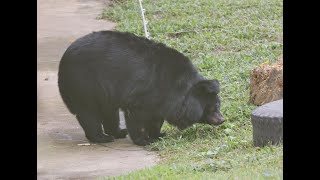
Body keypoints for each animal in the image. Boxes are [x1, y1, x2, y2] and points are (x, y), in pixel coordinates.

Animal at [57, 31, 224, 146]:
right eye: (213, 107)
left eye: (218, 105)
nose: (222, 119)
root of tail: (64, 57)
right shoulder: (144, 92)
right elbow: (136, 115)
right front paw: (143, 140)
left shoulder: (161, 99)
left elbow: (156, 118)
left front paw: (158, 135)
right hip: (84, 83)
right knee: (88, 112)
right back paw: (102, 137)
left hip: (104, 91)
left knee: (109, 112)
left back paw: (118, 132)